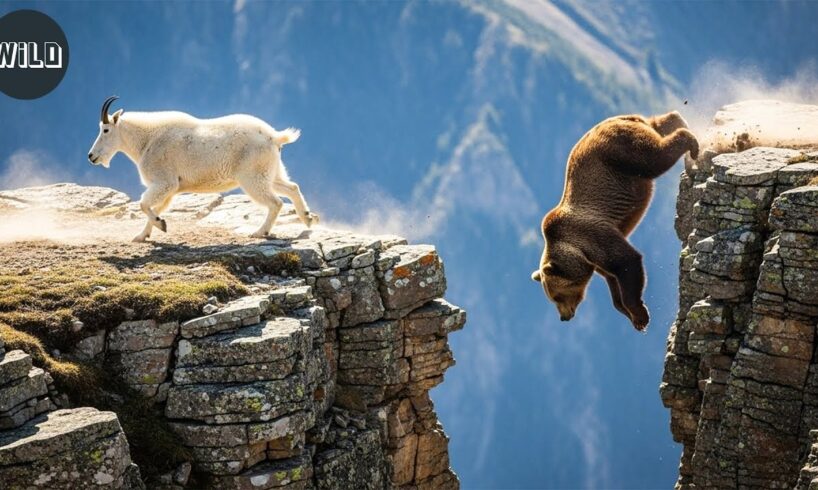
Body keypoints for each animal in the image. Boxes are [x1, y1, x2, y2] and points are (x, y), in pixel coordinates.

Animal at [531, 111, 698, 331]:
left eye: (556, 296)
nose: (564, 317)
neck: (577, 252)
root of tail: (623, 117)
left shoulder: (590, 234)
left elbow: (626, 261)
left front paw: (639, 314)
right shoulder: (594, 258)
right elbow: (613, 279)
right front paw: (634, 315)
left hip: (620, 150)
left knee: (654, 158)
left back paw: (691, 143)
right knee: (659, 126)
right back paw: (680, 121)